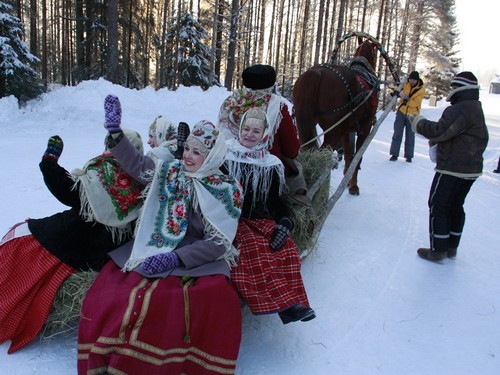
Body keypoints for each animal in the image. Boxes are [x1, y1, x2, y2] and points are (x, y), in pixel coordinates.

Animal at [292, 38, 378, 197]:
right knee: (321, 157)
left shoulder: (347, 130)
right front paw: (353, 186)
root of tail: (316, 73)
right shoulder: (365, 127)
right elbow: (357, 157)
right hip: (333, 131)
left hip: (304, 122)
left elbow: (349, 155)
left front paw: (347, 180)